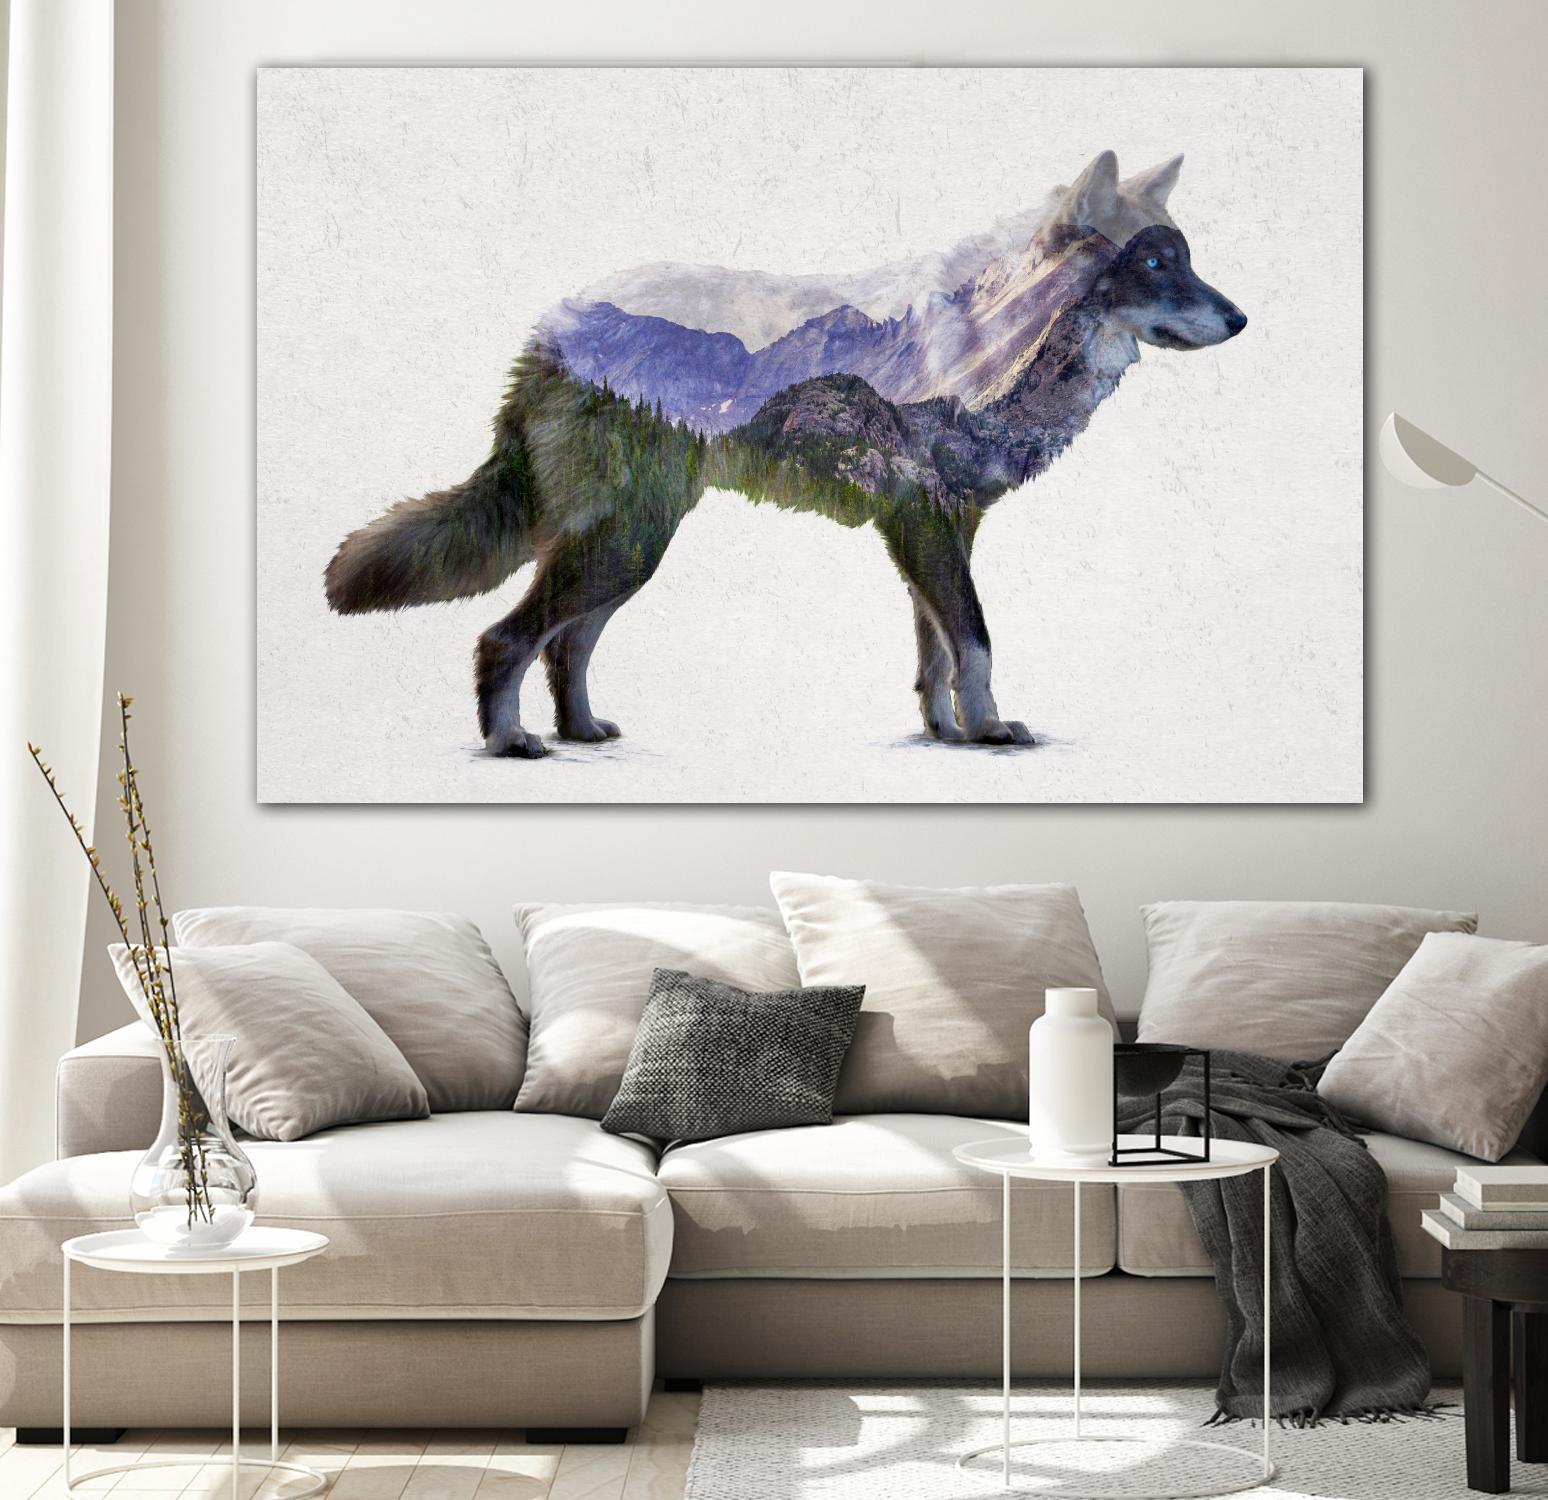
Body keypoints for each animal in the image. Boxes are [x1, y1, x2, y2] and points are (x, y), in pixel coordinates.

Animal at [324, 152, 1246, 757]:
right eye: (1154, 261)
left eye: (1186, 257)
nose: (1241, 319)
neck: (995, 345)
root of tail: (551, 328)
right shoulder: (925, 528)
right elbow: (976, 642)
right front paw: (989, 732)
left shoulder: (935, 534)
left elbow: (937, 654)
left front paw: (947, 732)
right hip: (626, 546)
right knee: (505, 638)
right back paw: (512, 744)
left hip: (633, 547)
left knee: (564, 645)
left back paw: (582, 732)